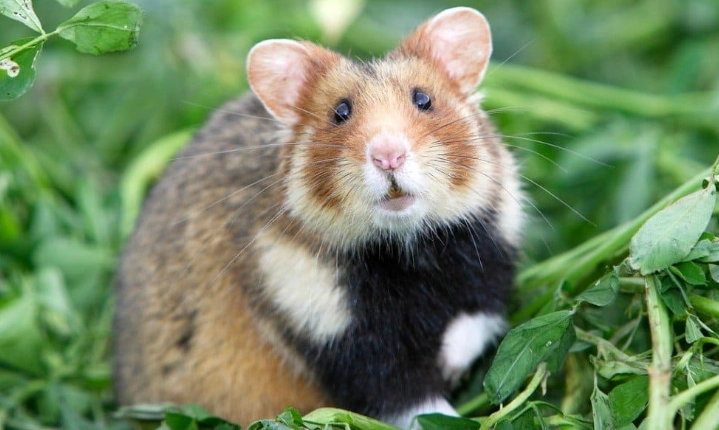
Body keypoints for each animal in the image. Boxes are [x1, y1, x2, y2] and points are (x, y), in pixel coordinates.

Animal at [113, 7, 523, 429]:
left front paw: (450, 364)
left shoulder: (490, 259)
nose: (388, 156)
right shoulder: (332, 326)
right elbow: (409, 399)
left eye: (423, 99)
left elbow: (476, 320)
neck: (404, 245)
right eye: (340, 112)